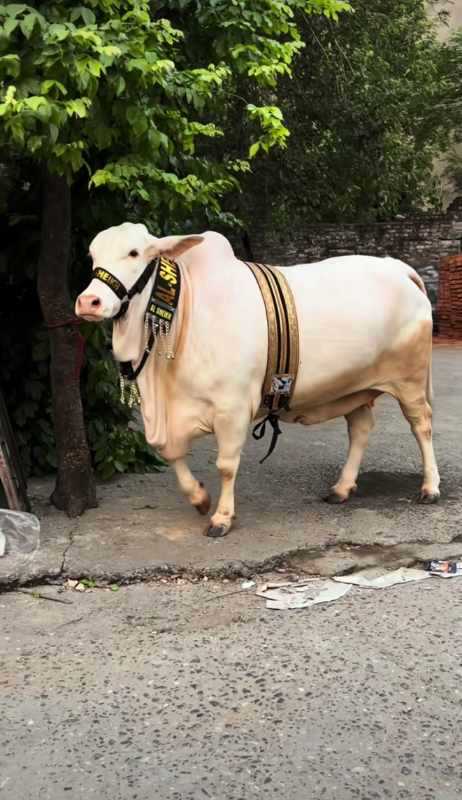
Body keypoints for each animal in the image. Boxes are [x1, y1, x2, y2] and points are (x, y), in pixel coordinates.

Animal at [75, 223, 440, 537]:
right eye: (92, 256)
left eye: (134, 253)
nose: (88, 302)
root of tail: (396, 267)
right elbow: (171, 454)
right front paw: (199, 498)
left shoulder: (232, 409)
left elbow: (226, 465)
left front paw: (221, 518)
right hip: (355, 386)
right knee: (361, 429)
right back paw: (341, 488)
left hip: (410, 380)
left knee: (421, 425)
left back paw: (430, 486)